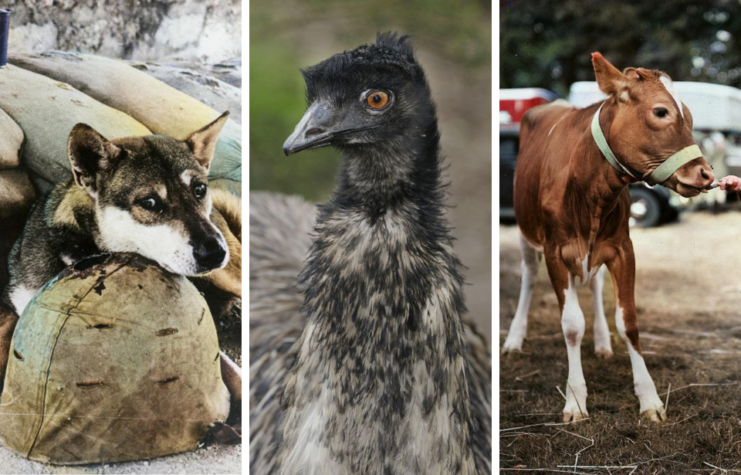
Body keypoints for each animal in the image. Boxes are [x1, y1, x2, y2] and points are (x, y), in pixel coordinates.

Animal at [502, 53, 716, 424]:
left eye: (689, 115)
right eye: (661, 111)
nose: (705, 174)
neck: (589, 188)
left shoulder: (622, 248)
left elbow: (628, 321)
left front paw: (649, 398)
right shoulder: (556, 250)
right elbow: (571, 324)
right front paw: (575, 400)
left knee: (596, 283)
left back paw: (602, 342)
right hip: (527, 234)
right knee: (528, 278)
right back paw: (515, 338)